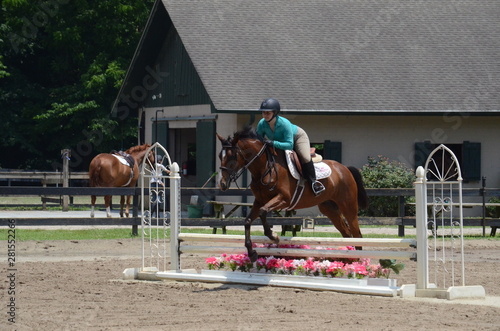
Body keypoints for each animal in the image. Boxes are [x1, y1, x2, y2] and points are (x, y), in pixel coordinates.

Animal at [217, 127, 370, 262]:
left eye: (232, 156)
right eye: (219, 156)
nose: (222, 184)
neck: (264, 168)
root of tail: (344, 168)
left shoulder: (284, 199)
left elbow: (263, 212)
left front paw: (273, 236)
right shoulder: (259, 201)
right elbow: (248, 221)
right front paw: (252, 253)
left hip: (348, 207)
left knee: (357, 234)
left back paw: (359, 260)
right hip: (329, 209)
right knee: (347, 233)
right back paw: (348, 258)